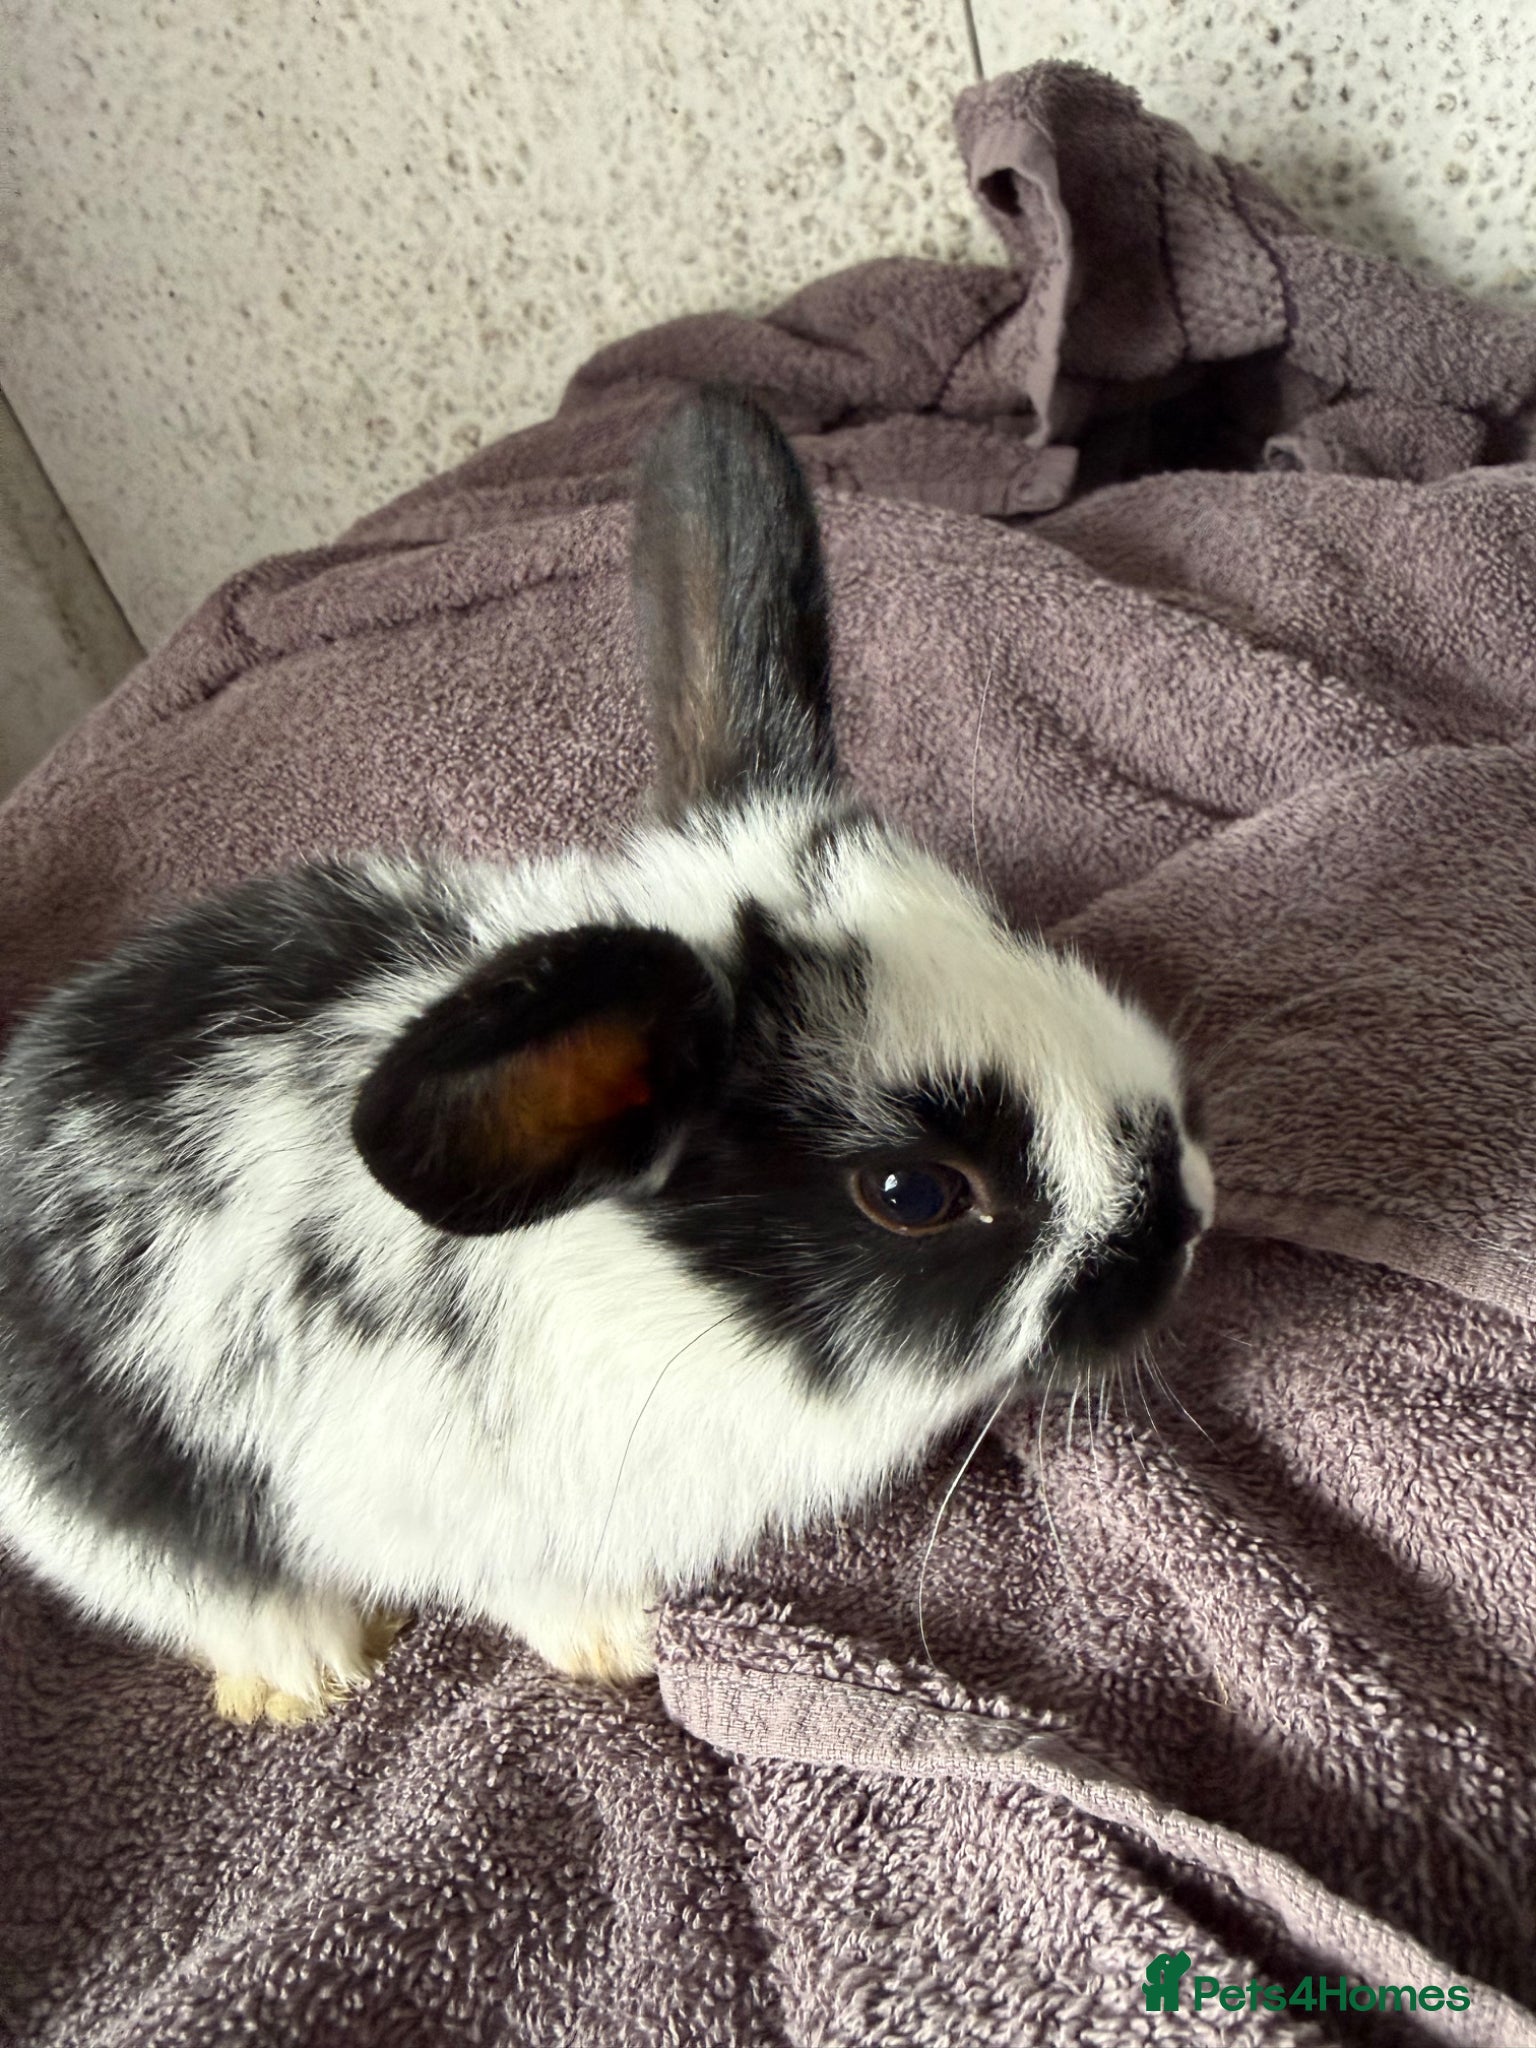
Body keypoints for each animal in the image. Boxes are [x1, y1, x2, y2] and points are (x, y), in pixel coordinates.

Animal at [0, 389, 1214, 1723]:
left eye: (1009, 927)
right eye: (914, 1192)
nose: (1188, 1218)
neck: (663, 1290)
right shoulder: (459, 1516)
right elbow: (531, 1591)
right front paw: (622, 1644)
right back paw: (309, 1671)